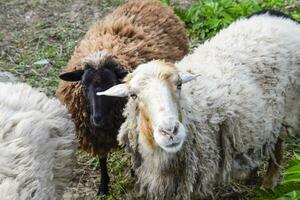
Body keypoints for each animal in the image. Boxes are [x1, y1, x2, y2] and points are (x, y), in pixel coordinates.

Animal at [56, 0, 188, 196]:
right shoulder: (97, 136)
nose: (97, 119)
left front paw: (134, 172)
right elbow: (102, 159)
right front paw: (103, 187)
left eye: (112, 83)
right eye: (84, 84)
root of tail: (151, 2)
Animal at [98, 11, 300, 200]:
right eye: (133, 95)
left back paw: (269, 184)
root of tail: (278, 17)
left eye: (179, 84)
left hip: (287, 111)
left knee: (278, 146)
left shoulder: (198, 174)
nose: (170, 131)